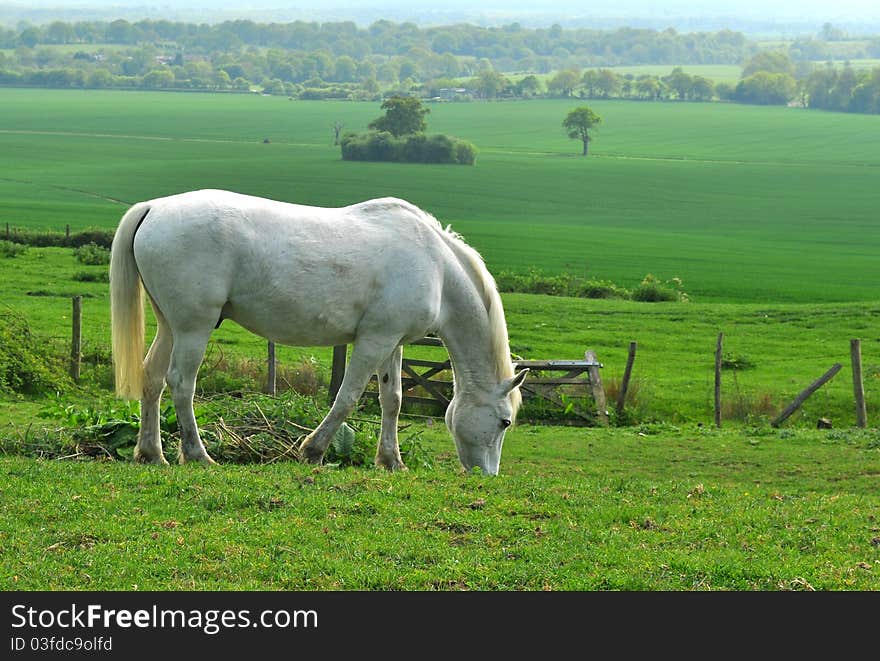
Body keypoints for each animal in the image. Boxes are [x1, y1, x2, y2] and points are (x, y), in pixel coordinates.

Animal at [109, 188, 524, 472]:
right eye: (505, 421)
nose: (487, 475)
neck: (435, 264)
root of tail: (154, 207)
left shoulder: (392, 342)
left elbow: (393, 399)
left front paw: (391, 461)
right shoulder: (373, 341)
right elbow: (347, 397)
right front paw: (313, 450)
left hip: (171, 326)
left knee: (152, 378)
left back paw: (152, 453)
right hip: (194, 328)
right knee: (181, 383)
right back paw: (197, 454)